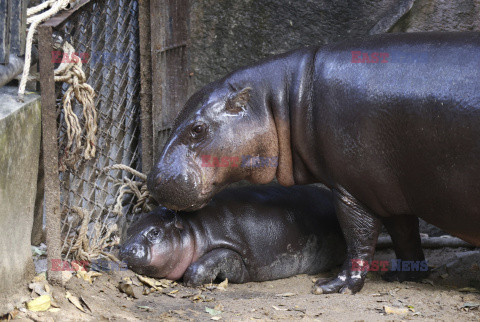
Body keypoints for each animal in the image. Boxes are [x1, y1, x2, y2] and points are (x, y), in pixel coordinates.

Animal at [119, 185, 344, 286]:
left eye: (155, 232)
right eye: (129, 229)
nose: (126, 250)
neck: (191, 229)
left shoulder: (230, 249)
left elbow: (206, 263)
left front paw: (191, 280)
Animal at [146, 32, 480, 294]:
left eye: (197, 129)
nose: (152, 179)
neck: (284, 98)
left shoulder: (352, 189)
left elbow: (358, 236)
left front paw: (335, 286)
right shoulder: (391, 191)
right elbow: (405, 232)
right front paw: (401, 275)